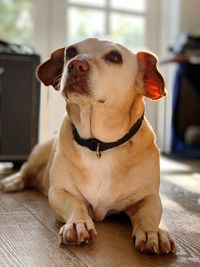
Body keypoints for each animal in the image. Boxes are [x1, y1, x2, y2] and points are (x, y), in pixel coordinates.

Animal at [0, 37, 175, 255]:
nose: (76, 65)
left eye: (115, 57)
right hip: (39, 152)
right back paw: (12, 181)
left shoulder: (149, 198)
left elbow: (148, 215)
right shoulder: (59, 193)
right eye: (70, 52)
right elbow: (76, 205)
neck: (99, 144)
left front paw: (154, 232)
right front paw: (78, 223)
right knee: (25, 169)